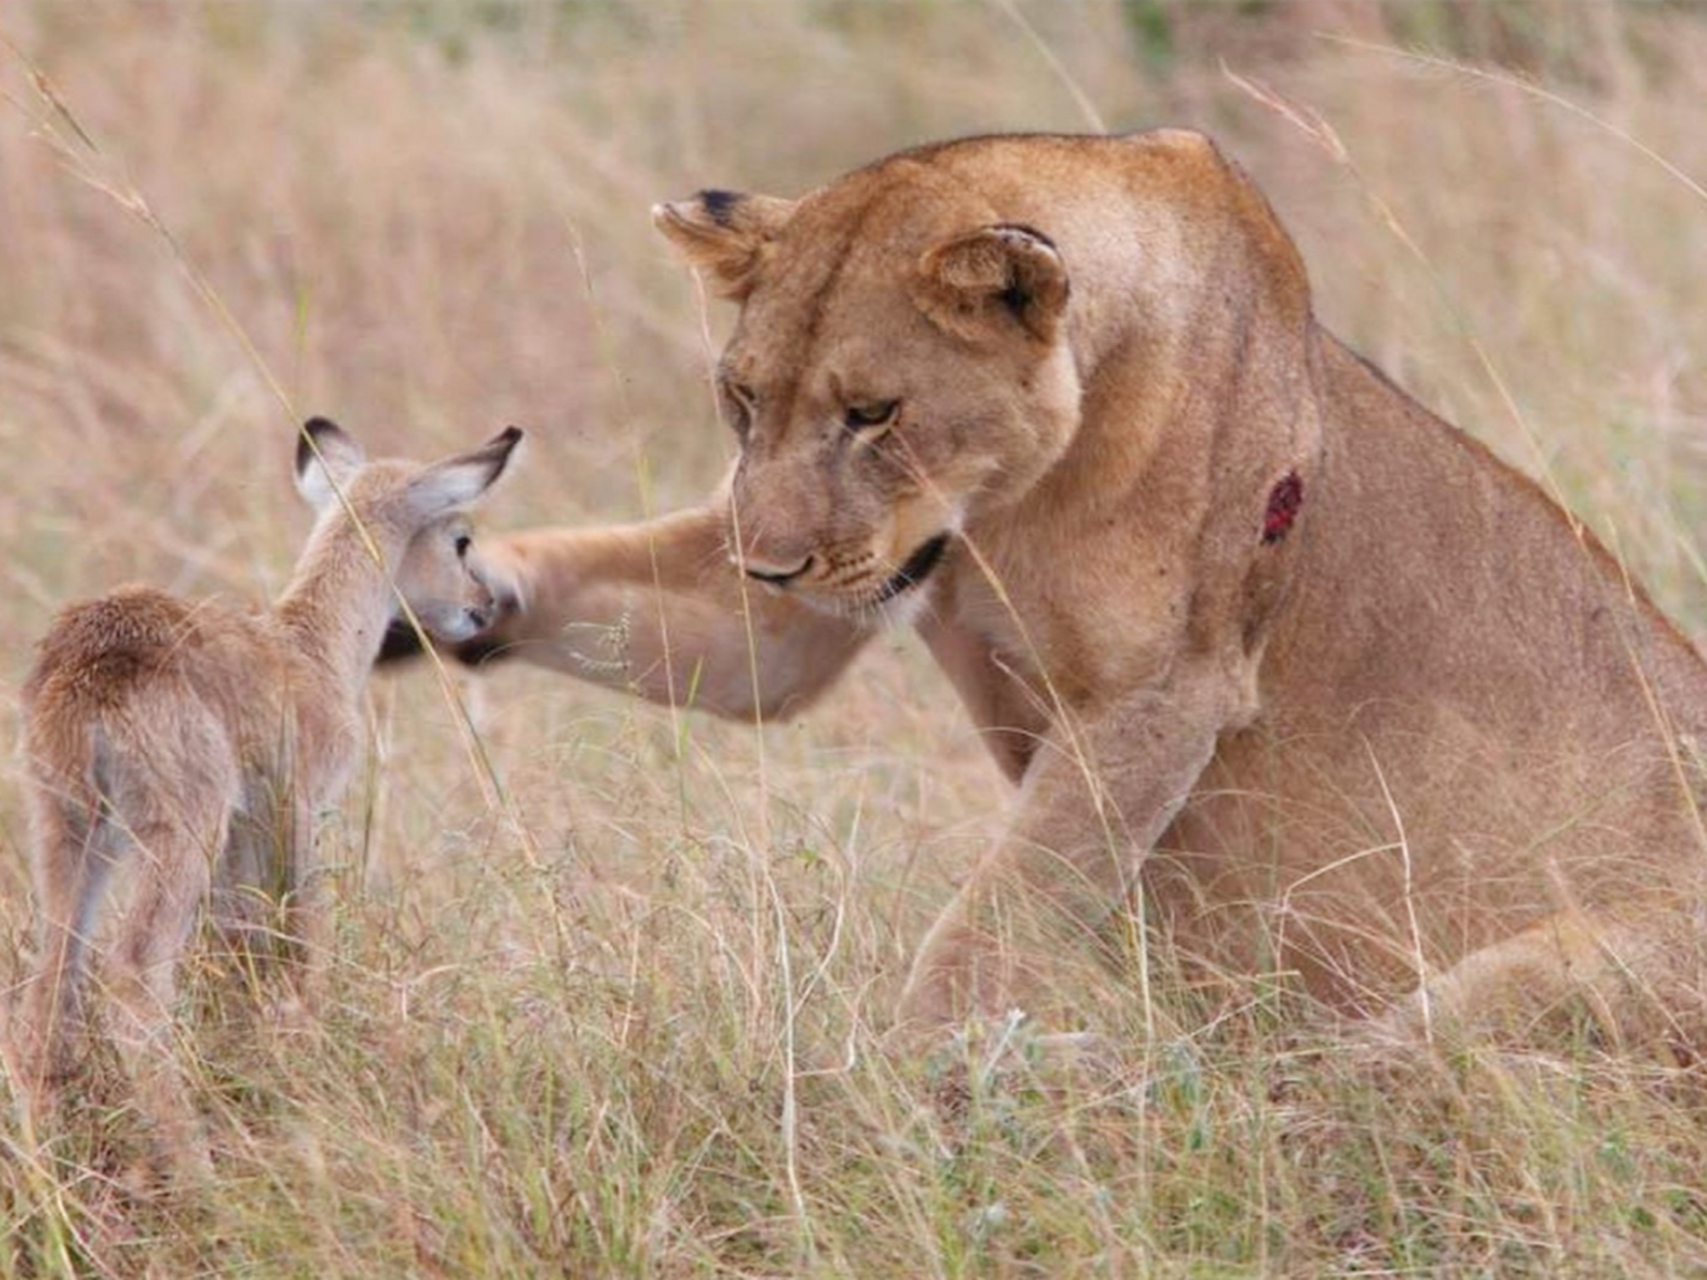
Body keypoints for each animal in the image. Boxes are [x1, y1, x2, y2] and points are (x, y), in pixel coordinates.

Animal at [15, 416, 518, 1181]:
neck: (311, 648)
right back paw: (200, 1174)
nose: (482, 607)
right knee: (132, 979)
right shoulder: (296, 813)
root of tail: (89, 667)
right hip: (176, 833)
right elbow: (302, 944)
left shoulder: (242, 839)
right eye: (460, 537)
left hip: (68, 833)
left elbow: (238, 958)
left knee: (46, 997)